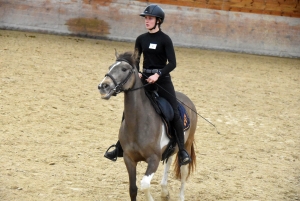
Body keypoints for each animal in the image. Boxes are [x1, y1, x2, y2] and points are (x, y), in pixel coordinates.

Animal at [97, 50, 198, 201]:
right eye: (110, 67)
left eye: (124, 69)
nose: (103, 86)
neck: (138, 124)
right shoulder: (129, 159)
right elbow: (133, 189)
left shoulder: (154, 159)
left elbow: (144, 184)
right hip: (173, 147)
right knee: (169, 161)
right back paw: (164, 191)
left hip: (186, 144)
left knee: (184, 171)